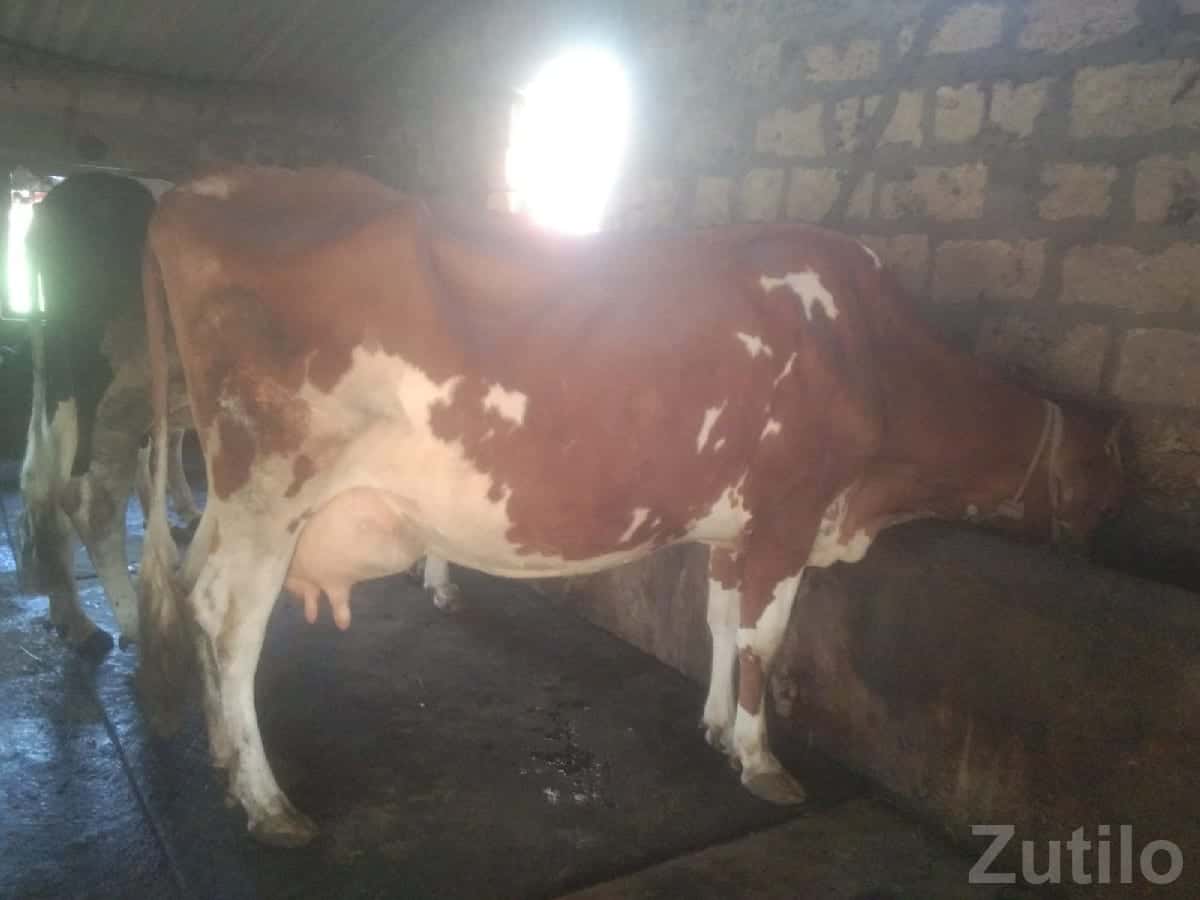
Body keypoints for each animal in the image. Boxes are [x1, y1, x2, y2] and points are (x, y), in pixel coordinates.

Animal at [17, 172, 199, 655]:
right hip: (115, 392)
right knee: (89, 500)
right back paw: (136, 621)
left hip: (67, 393)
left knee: (43, 485)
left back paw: (76, 622)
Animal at [135, 165, 1122, 847]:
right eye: (1100, 488)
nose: (1093, 552)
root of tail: (195, 192)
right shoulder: (789, 516)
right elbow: (763, 642)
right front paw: (761, 762)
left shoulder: (738, 524)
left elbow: (721, 624)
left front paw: (716, 728)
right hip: (272, 487)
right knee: (230, 623)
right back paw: (267, 801)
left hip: (235, 498)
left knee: (192, 585)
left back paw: (224, 762)